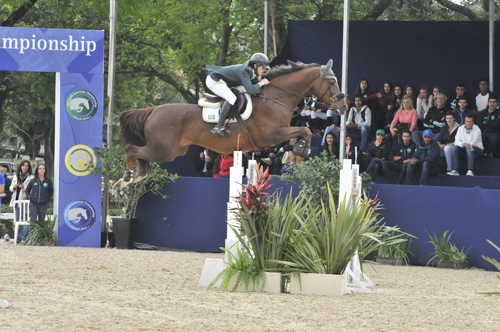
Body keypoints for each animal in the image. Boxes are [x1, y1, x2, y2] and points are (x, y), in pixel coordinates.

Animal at [118, 58, 344, 185]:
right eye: (332, 81)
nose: (343, 106)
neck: (276, 97)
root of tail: (152, 110)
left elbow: (303, 132)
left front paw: (297, 153)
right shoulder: (272, 134)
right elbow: (304, 131)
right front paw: (299, 153)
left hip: (172, 151)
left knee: (140, 156)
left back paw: (134, 177)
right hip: (164, 150)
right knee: (131, 149)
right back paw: (127, 177)